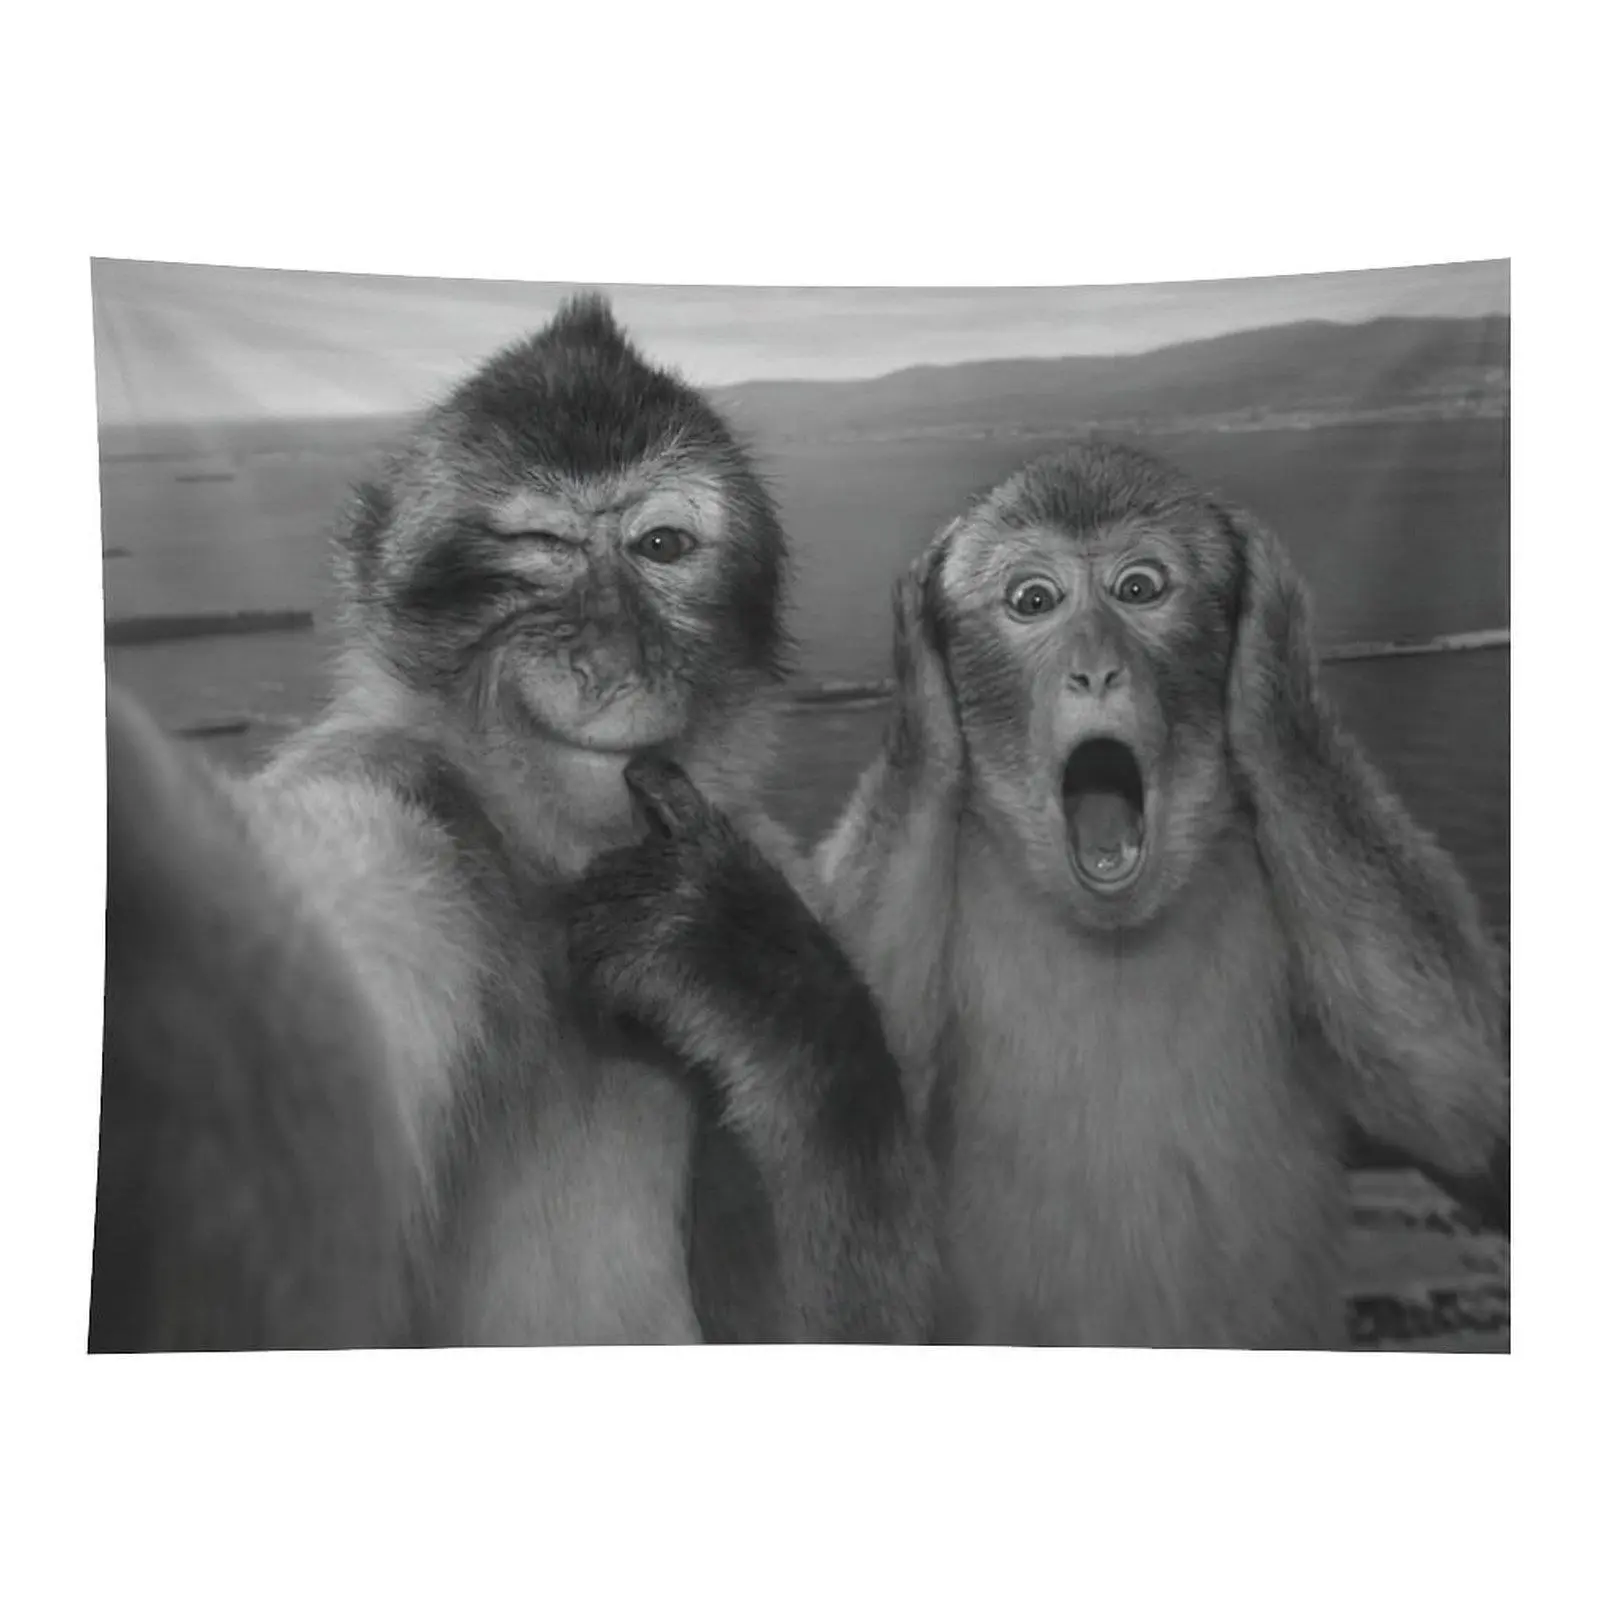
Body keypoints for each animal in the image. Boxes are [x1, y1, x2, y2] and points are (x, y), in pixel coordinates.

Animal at [92, 296, 936, 1351]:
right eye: (539, 552)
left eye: (662, 547)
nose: (610, 658)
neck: (546, 873)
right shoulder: (389, 803)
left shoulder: (773, 854)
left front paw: (743, 955)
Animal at [814, 441, 1508, 1349]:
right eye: (1033, 601)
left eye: (1139, 589)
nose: (1094, 669)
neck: (1114, 925)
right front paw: (921, 694)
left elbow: (1459, 1097)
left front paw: (1272, 660)